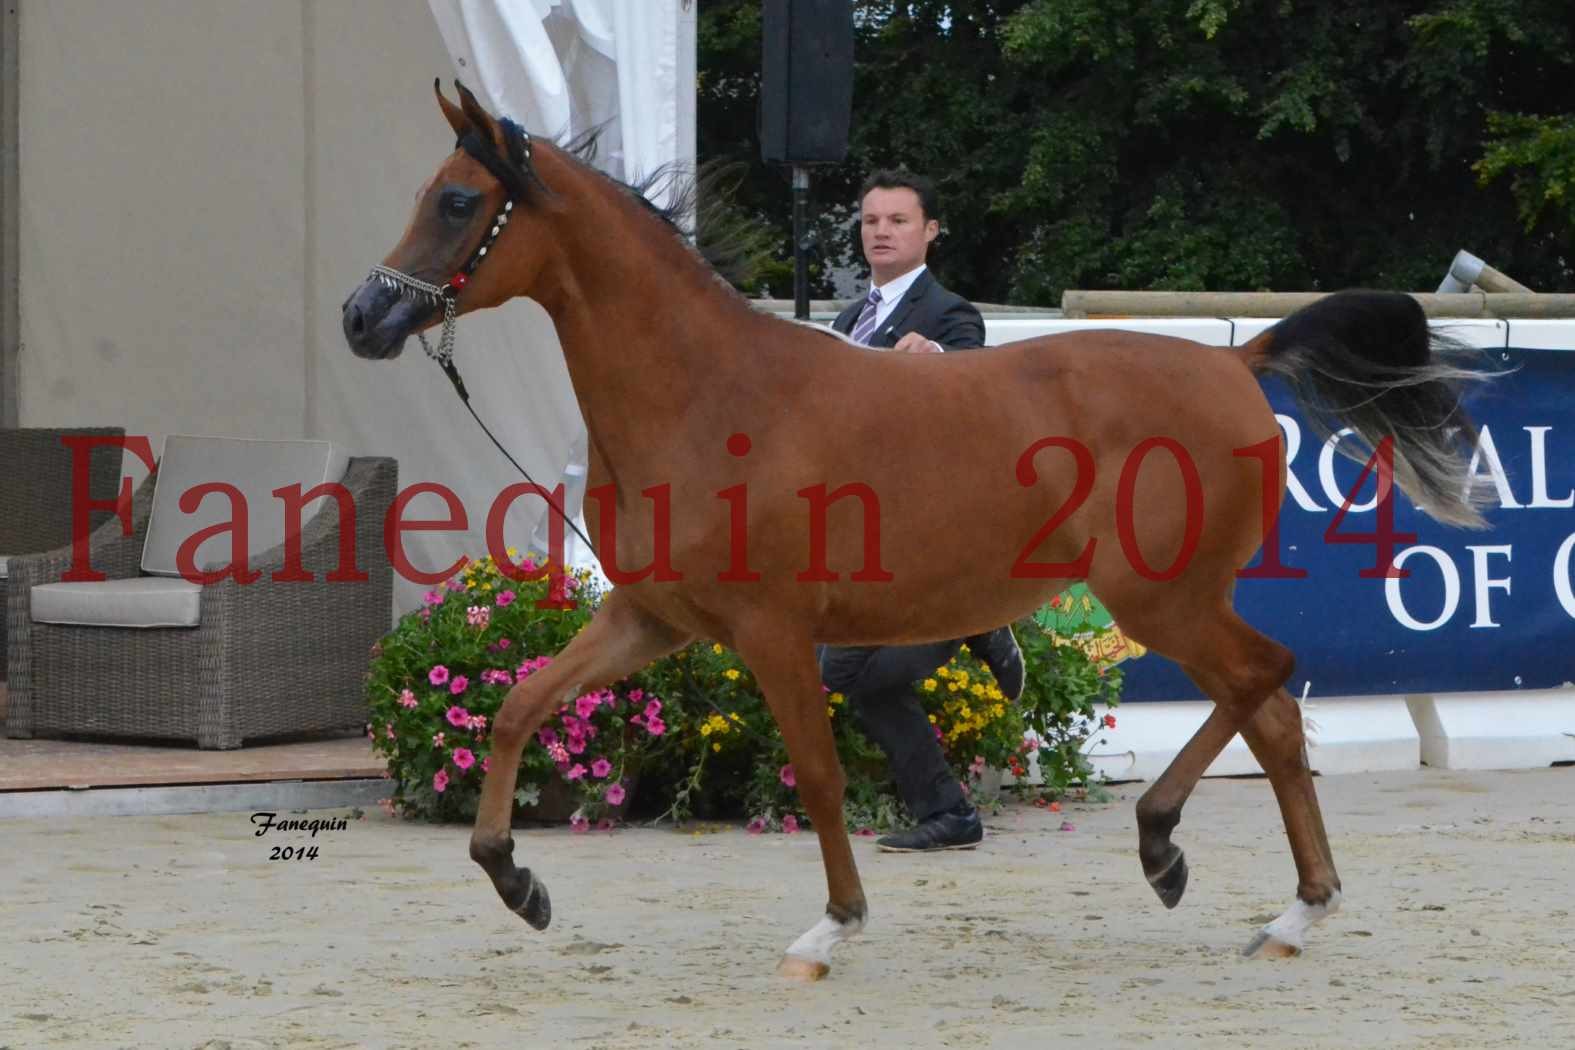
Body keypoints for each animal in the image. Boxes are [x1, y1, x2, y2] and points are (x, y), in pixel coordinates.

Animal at [338, 80, 1493, 976]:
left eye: (456, 200)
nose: (361, 318)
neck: (704, 392)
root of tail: (1235, 360)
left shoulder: (770, 632)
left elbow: (817, 776)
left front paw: (831, 931)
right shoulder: (651, 619)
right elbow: (516, 709)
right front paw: (515, 880)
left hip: (1160, 597)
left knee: (1265, 682)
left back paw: (1202, 865)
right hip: (1175, 599)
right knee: (1272, 710)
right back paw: (1260, 901)